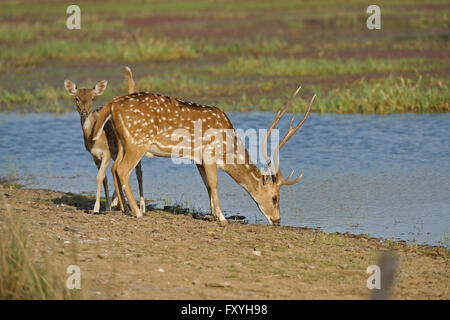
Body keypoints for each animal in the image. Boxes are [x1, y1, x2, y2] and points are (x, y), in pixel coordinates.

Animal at [64, 66, 145, 214]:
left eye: (93, 98)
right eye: (76, 98)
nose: (84, 112)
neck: (94, 139)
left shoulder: (106, 152)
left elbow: (99, 177)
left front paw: (96, 208)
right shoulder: (94, 155)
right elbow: (104, 178)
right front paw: (107, 206)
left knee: (138, 172)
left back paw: (142, 207)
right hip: (118, 152)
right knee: (120, 170)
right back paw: (115, 202)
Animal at [93, 85, 314, 225]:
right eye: (275, 197)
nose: (277, 220)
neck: (227, 150)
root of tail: (112, 104)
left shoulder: (198, 160)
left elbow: (207, 185)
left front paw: (213, 215)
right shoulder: (209, 154)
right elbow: (215, 183)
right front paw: (222, 218)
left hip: (122, 142)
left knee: (114, 167)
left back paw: (123, 209)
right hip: (137, 142)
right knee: (122, 169)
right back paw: (138, 212)